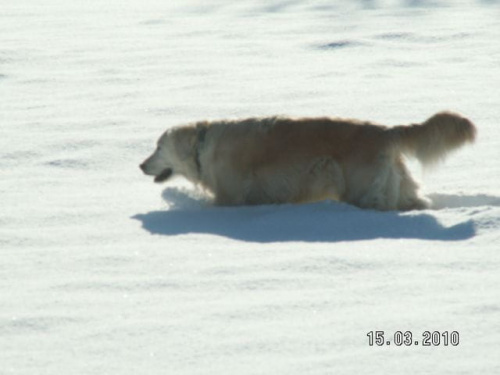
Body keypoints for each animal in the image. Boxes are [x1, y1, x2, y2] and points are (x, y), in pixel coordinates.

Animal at [140, 111, 476, 212]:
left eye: (157, 147)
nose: (141, 165)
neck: (203, 145)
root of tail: (385, 130)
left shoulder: (230, 197)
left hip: (362, 189)